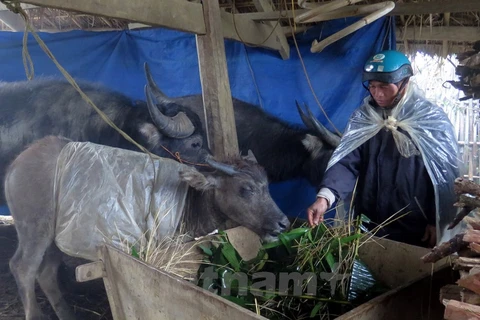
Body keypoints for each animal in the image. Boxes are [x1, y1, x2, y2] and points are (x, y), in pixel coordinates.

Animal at [6, 135, 288, 320]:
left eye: (267, 186)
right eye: (245, 189)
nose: (283, 223)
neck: (189, 202)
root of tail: (15, 166)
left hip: (53, 235)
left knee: (46, 272)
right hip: (34, 228)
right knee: (22, 268)